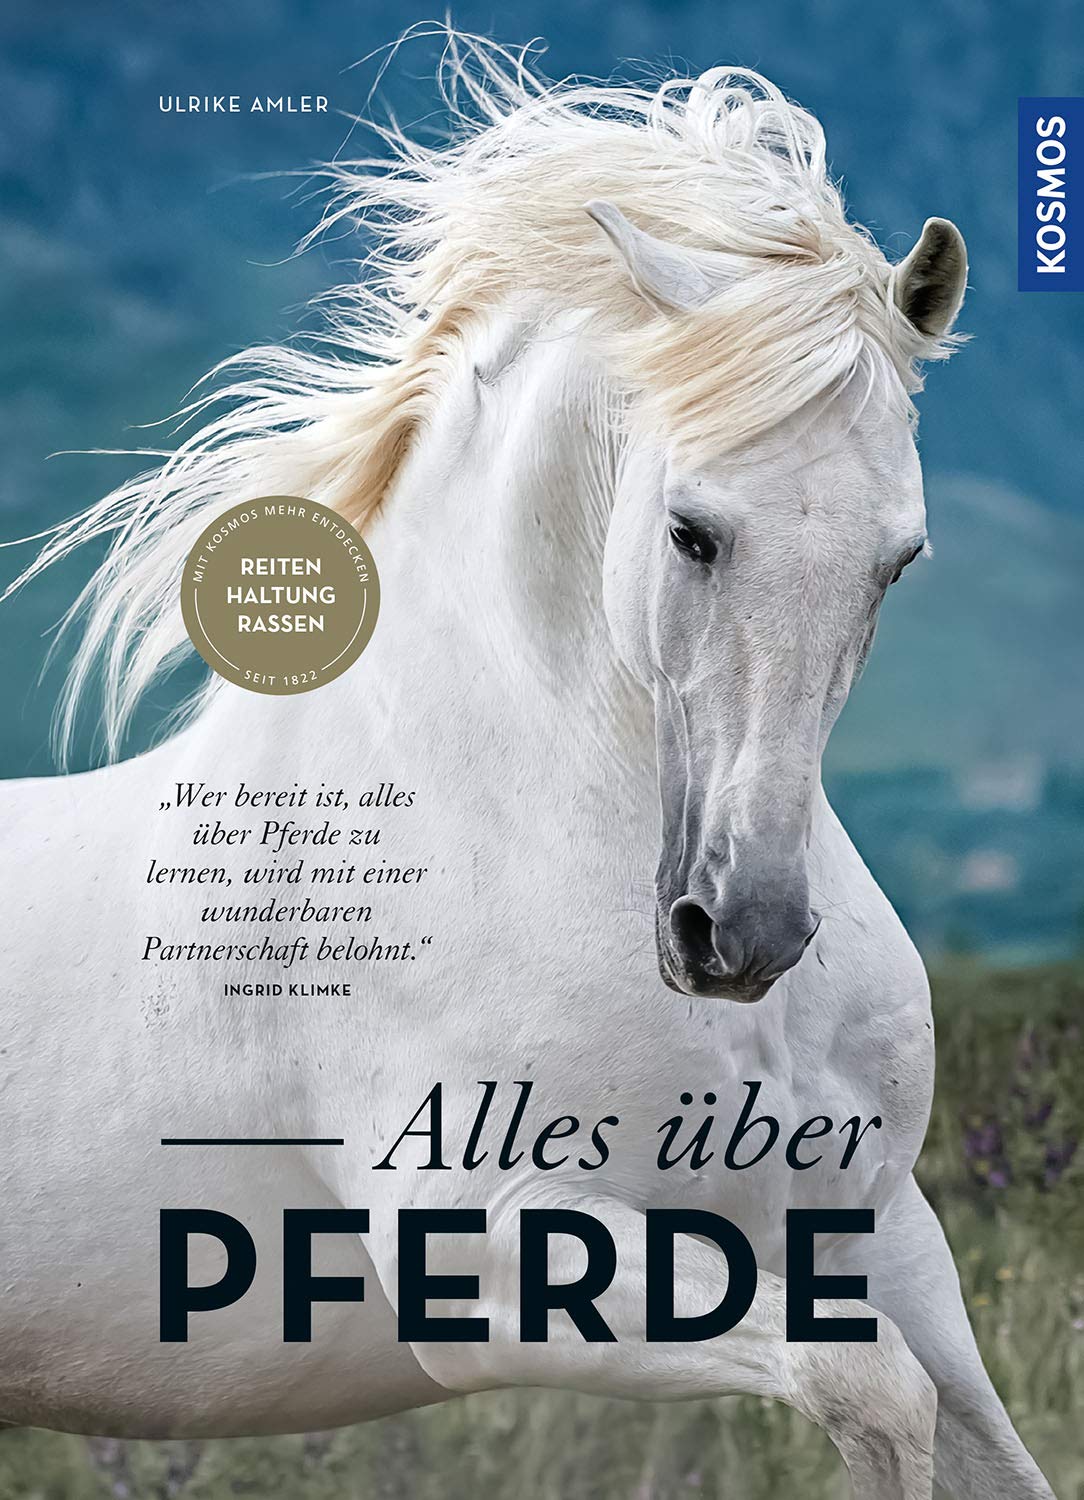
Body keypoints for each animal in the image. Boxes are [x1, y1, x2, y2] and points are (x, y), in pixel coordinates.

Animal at [0, 34, 1056, 1500]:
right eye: (689, 531)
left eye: (897, 560)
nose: (744, 933)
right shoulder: (494, 1258)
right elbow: (871, 1391)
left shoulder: (885, 1236)